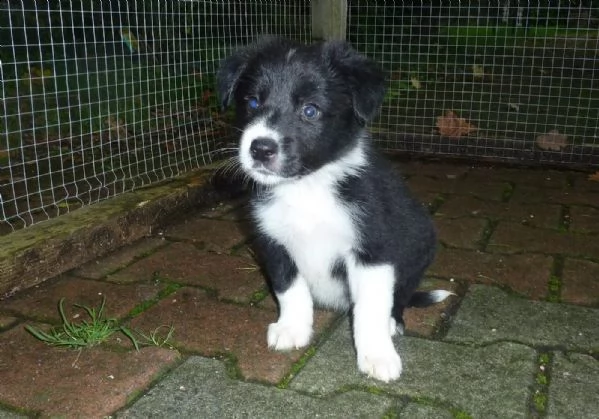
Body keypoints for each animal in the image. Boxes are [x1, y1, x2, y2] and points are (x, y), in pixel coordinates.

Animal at [218, 37, 452, 382]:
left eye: (310, 110)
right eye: (252, 103)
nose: (260, 148)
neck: (306, 188)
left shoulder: (373, 247)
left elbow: (371, 307)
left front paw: (377, 355)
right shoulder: (272, 240)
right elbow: (289, 287)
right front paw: (292, 328)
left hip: (419, 242)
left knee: (400, 295)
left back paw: (393, 322)